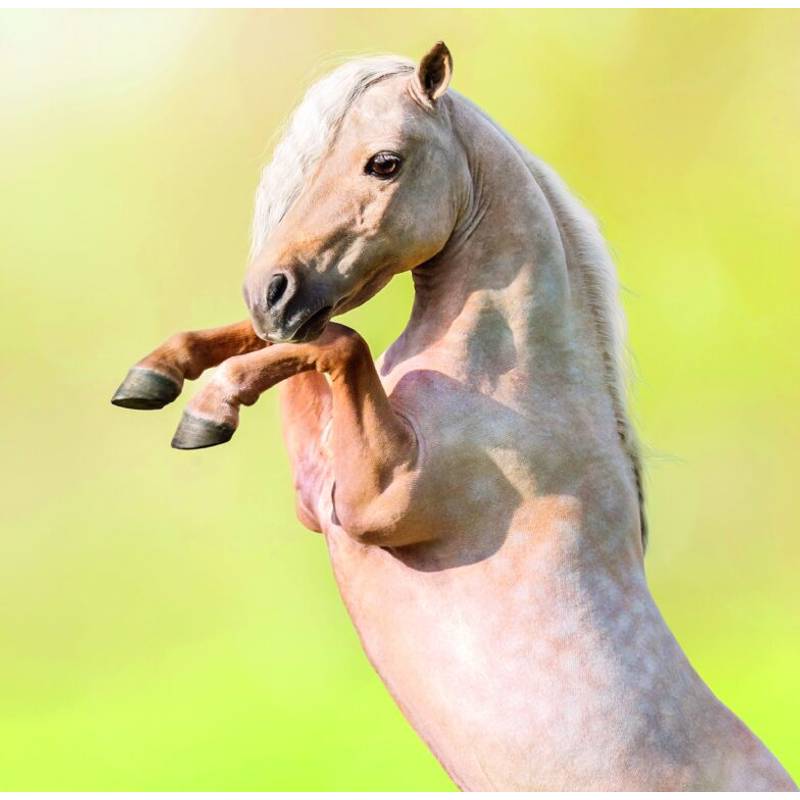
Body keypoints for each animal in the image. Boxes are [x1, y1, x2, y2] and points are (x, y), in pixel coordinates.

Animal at [111, 42, 796, 791]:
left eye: (384, 162)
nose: (272, 290)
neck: (518, 383)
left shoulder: (376, 500)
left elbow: (338, 343)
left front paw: (208, 406)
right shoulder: (316, 491)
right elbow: (296, 342)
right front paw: (156, 375)